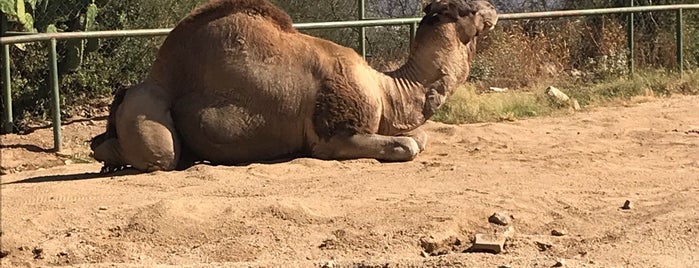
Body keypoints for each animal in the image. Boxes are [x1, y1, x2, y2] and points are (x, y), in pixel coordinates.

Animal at [90, 0, 500, 172]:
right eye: (466, 8)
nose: (493, 6)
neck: (387, 90)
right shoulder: (335, 136)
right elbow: (410, 145)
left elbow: (422, 137)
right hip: (149, 109)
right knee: (161, 155)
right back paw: (107, 158)